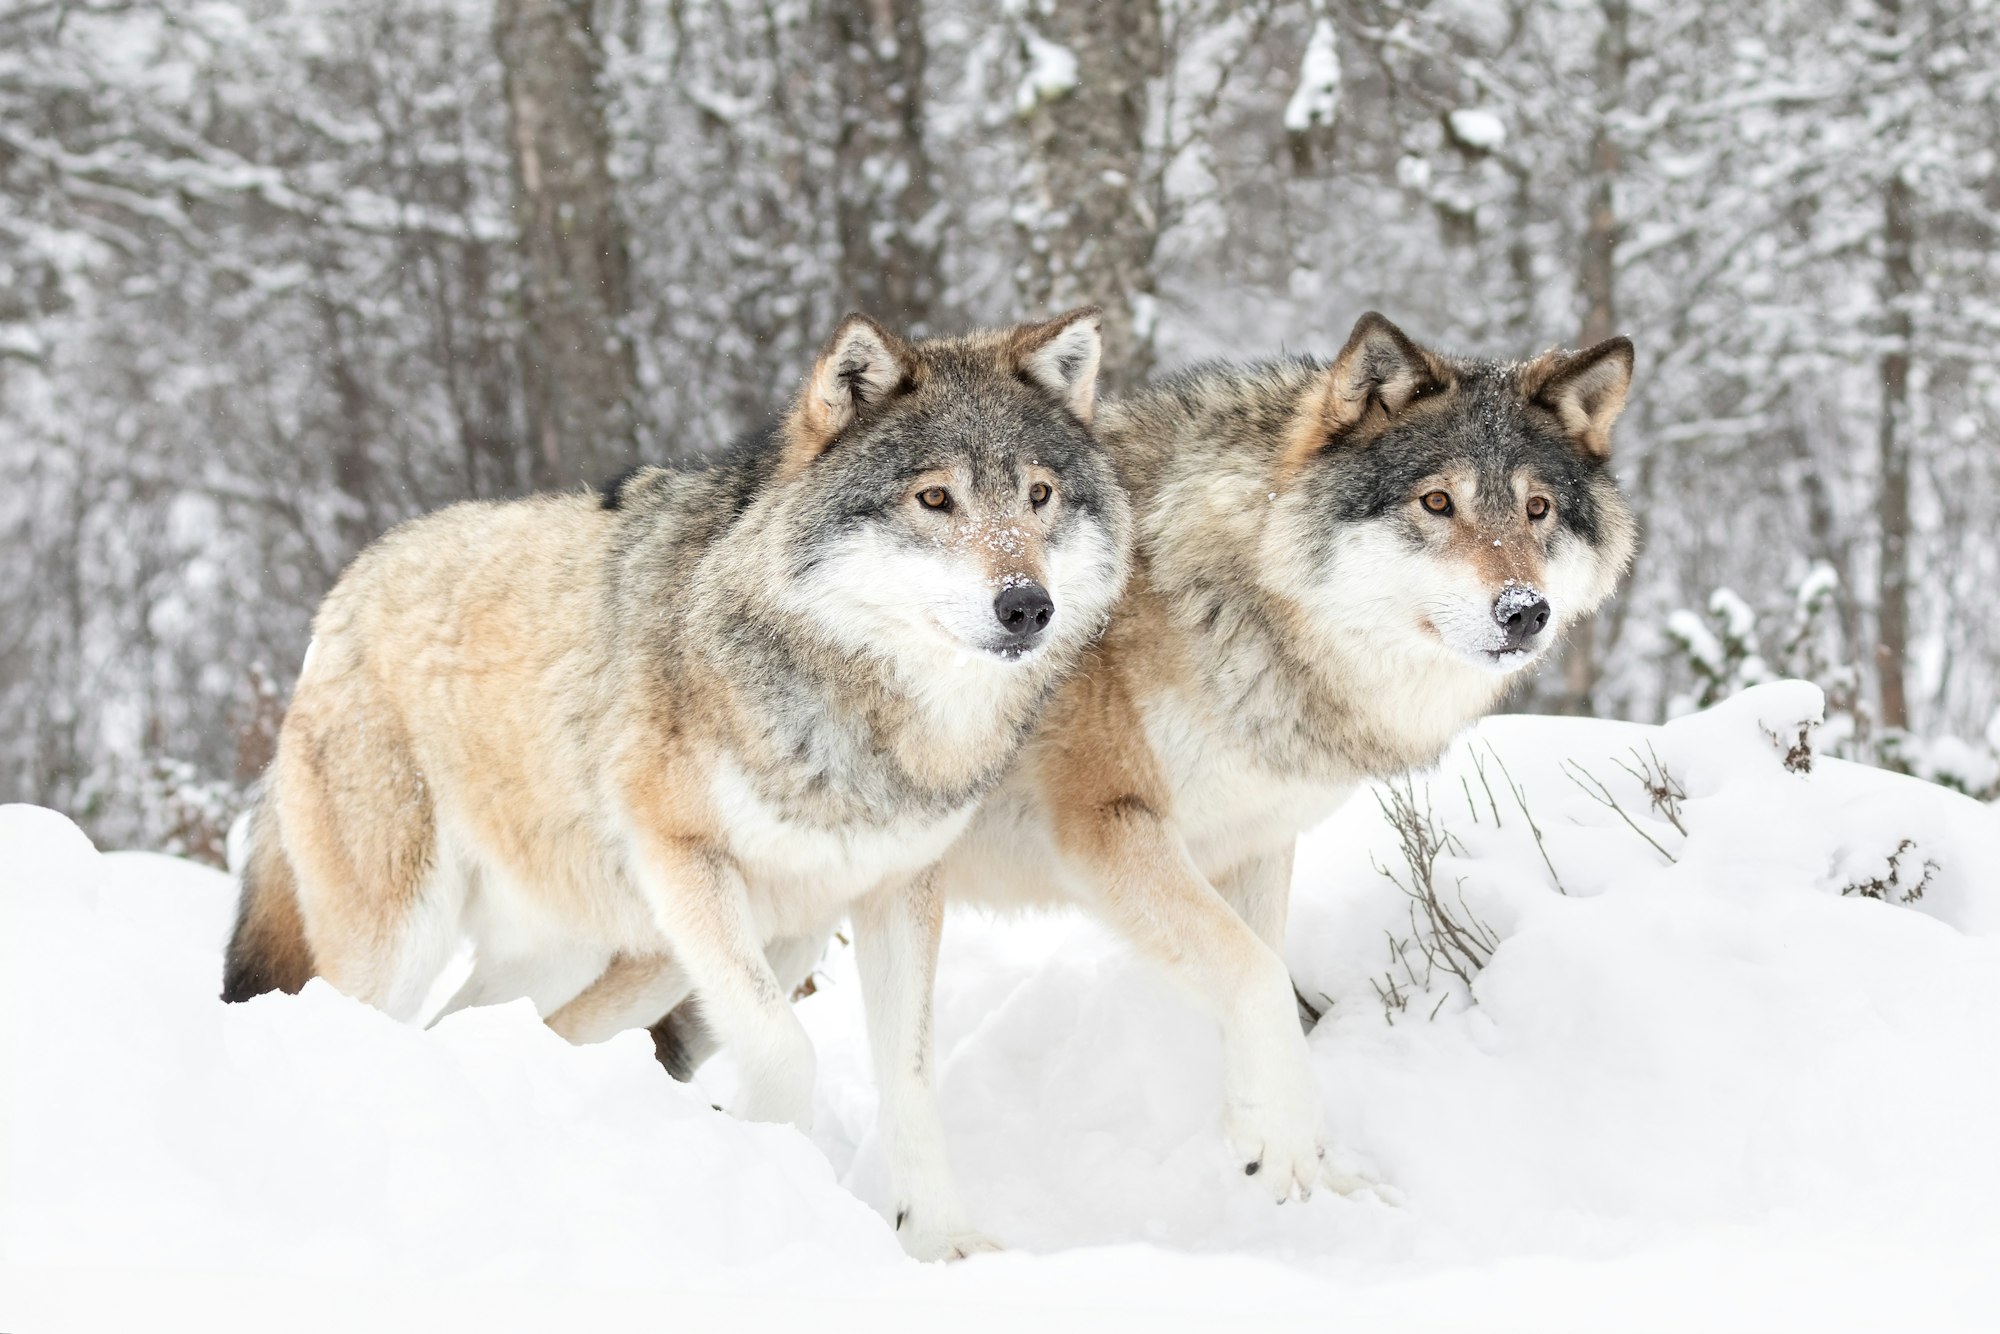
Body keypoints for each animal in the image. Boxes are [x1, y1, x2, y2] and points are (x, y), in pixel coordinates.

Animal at [221, 310, 1136, 1264]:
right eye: (934, 499)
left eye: (1038, 496)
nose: (1027, 606)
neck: (864, 712)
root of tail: (346, 587)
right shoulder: (682, 857)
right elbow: (785, 1049)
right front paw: (752, 1156)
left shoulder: (899, 892)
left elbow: (912, 1079)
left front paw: (940, 1241)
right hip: (415, 942)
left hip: (615, 956)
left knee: (488, 1032)